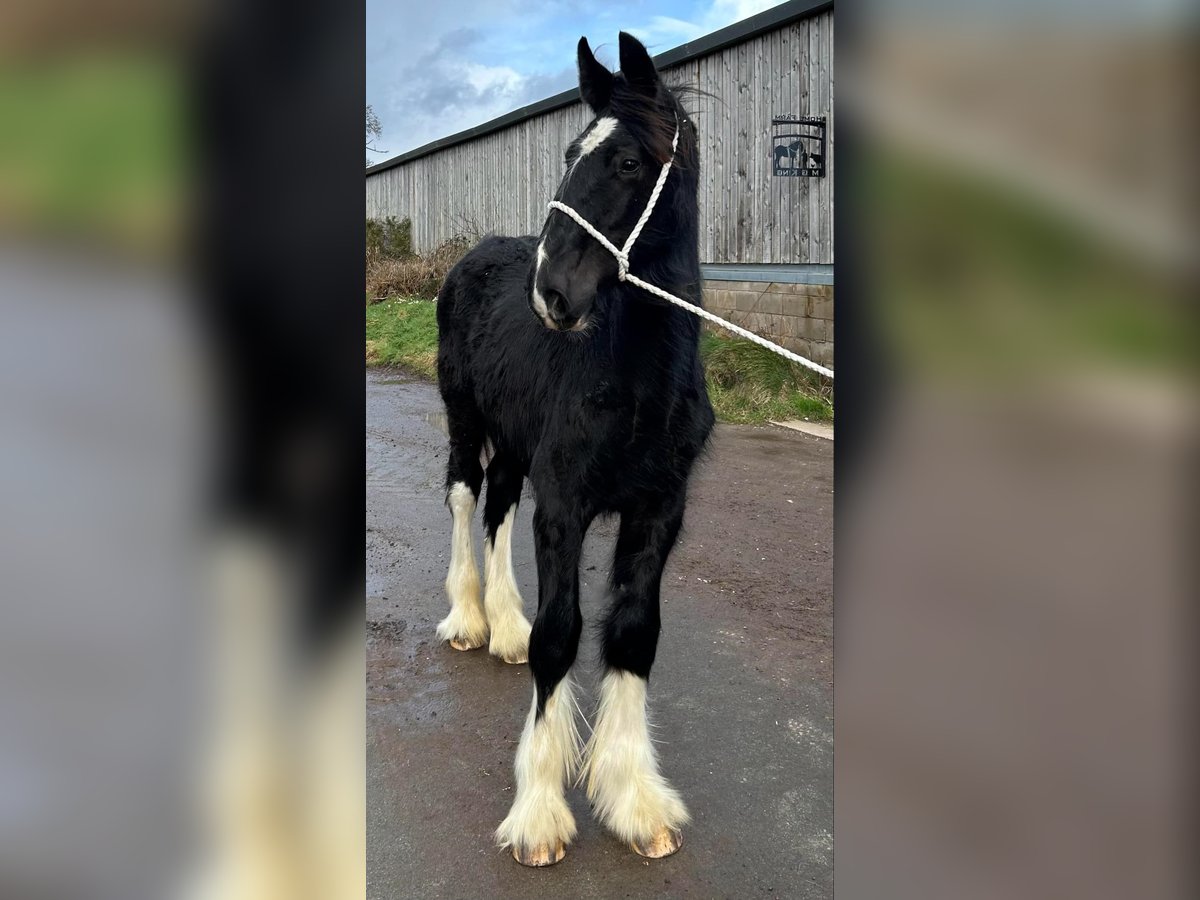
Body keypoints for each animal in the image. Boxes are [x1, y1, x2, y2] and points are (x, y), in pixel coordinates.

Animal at [432, 33, 710, 868]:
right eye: (568, 153)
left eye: (626, 162)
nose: (550, 293)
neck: (637, 381)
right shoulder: (565, 505)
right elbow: (561, 639)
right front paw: (539, 814)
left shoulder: (658, 512)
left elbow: (633, 635)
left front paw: (636, 800)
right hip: (464, 419)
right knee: (464, 496)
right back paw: (469, 619)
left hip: (517, 445)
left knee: (497, 503)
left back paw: (504, 627)